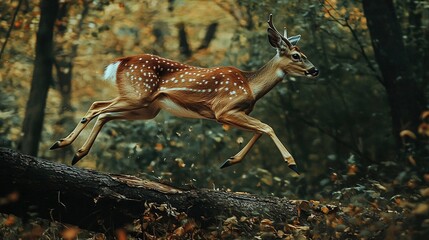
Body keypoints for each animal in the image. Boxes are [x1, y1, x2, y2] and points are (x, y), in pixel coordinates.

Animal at [50, 14, 318, 173]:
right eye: (296, 55)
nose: (315, 70)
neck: (251, 85)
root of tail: (122, 61)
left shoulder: (234, 113)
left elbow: (260, 130)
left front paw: (230, 160)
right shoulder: (223, 110)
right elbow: (266, 127)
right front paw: (292, 163)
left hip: (147, 108)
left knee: (103, 112)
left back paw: (77, 154)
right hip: (138, 94)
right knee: (96, 107)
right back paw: (62, 143)